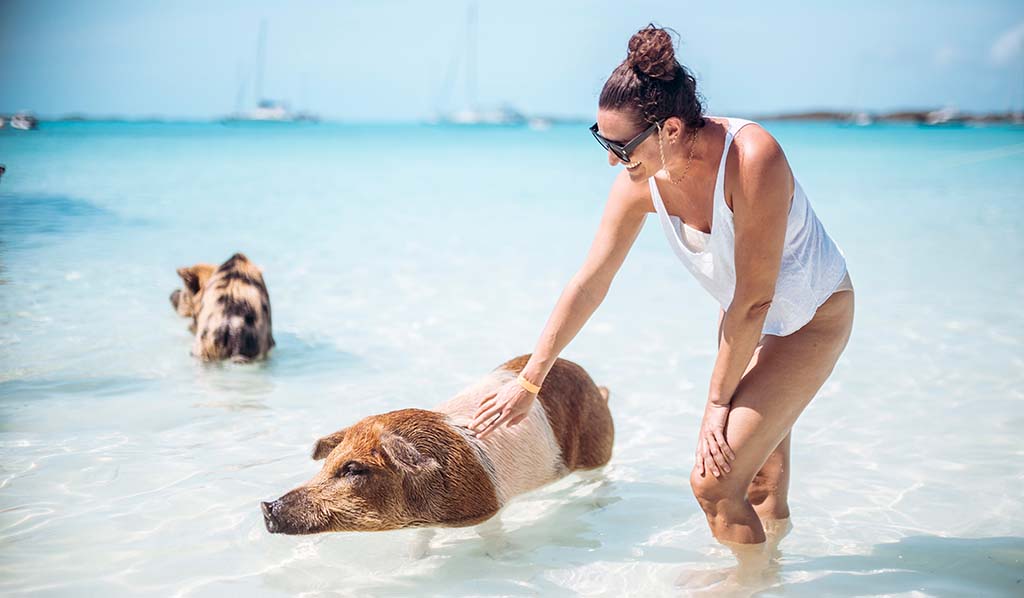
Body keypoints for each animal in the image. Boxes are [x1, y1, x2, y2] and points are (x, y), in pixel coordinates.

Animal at [264, 354, 610, 532]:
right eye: (328, 462)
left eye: (353, 469)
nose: (266, 505)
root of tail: (595, 385)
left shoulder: (486, 510)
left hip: (596, 447)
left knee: (599, 478)